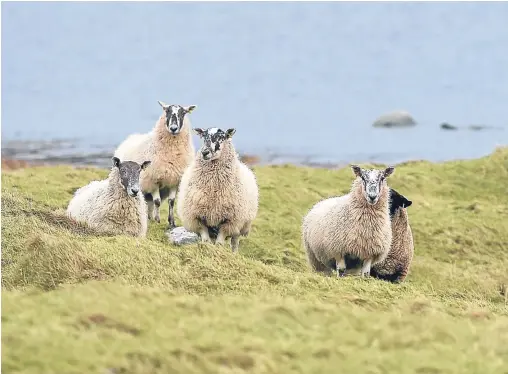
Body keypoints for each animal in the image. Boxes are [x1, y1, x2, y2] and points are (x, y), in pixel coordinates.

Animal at [114, 100, 196, 228]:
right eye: (167, 111)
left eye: (183, 113)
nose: (173, 128)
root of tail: (131, 137)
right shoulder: (153, 180)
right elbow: (157, 202)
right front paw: (157, 220)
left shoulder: (174, 180)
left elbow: (171, 202)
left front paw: (171, 222)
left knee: (148, 202)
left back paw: (149, 217)